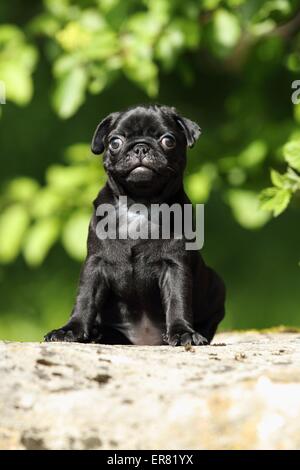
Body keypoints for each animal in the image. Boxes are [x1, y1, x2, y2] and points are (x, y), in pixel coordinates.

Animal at [45, 104, 225, 346]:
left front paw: (182, 332)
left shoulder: (175, 266)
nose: (140, 147)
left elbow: (178, 300)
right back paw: (97, 334)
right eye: (115, 142)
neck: (139, 204)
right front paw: (71, 330)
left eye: (168, 140)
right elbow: (85, 298)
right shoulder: (95, 263)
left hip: (216, 284)